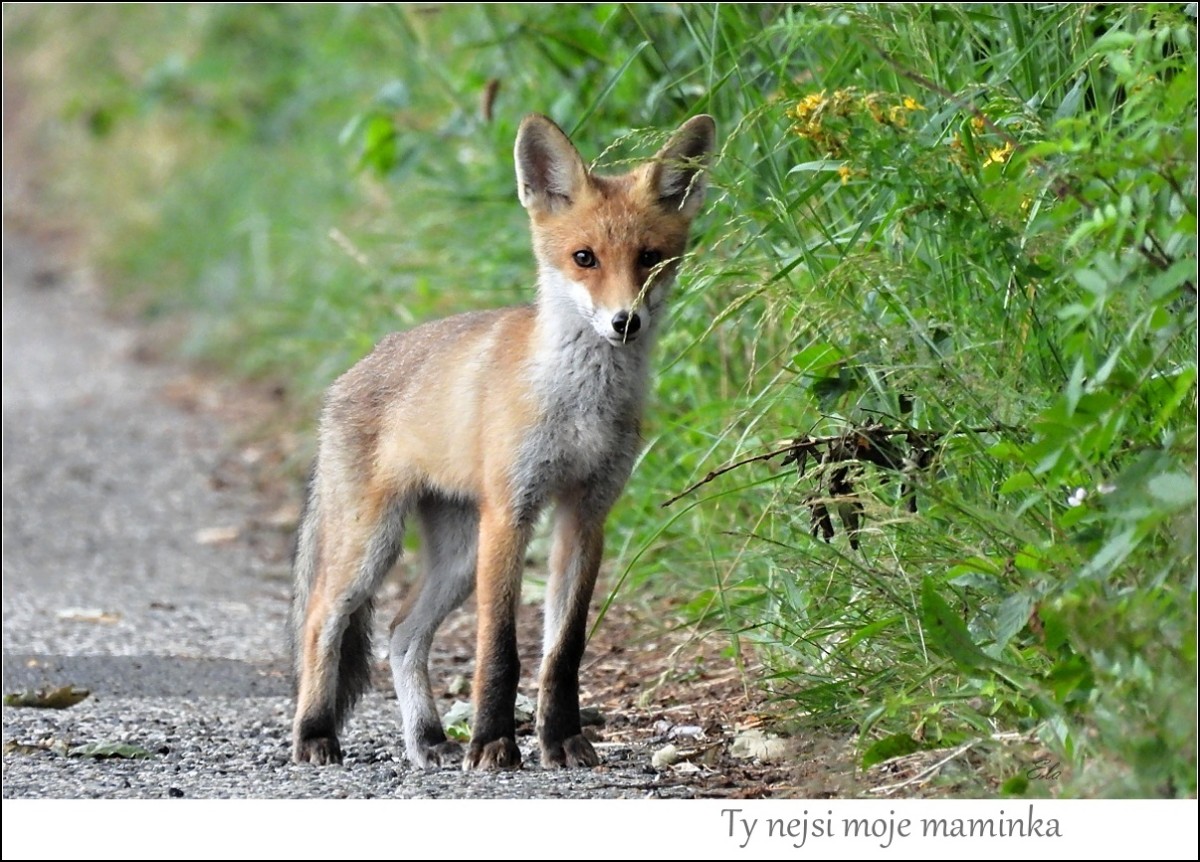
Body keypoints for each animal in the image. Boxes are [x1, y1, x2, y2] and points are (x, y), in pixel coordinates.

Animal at [289, 112, 716, 770]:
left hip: (458, 556)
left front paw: (560, 738)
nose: (625, 322)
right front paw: (493, 741)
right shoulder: (511, 514)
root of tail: (354, 369)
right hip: (374, 544)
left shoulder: (585, 515)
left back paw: (427, 739)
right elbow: (500, 649)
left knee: (402, 633)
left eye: (650, 258)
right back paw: (314, 733)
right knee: (321, 622)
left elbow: (563, 651)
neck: (579, 407)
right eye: (584, 258)